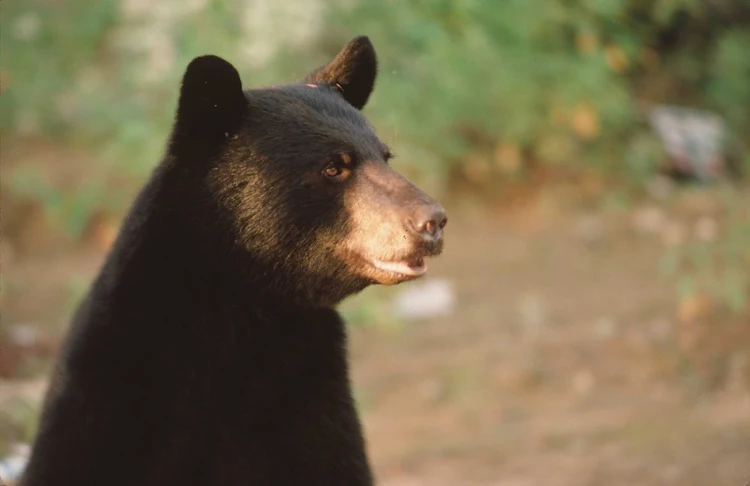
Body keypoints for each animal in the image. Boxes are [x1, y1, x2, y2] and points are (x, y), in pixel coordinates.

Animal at [20, 36, 446, 486]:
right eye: (334, 167)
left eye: (385, 156)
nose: (433, 221)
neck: (244, 316)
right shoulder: (112, 403)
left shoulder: (314, 404)